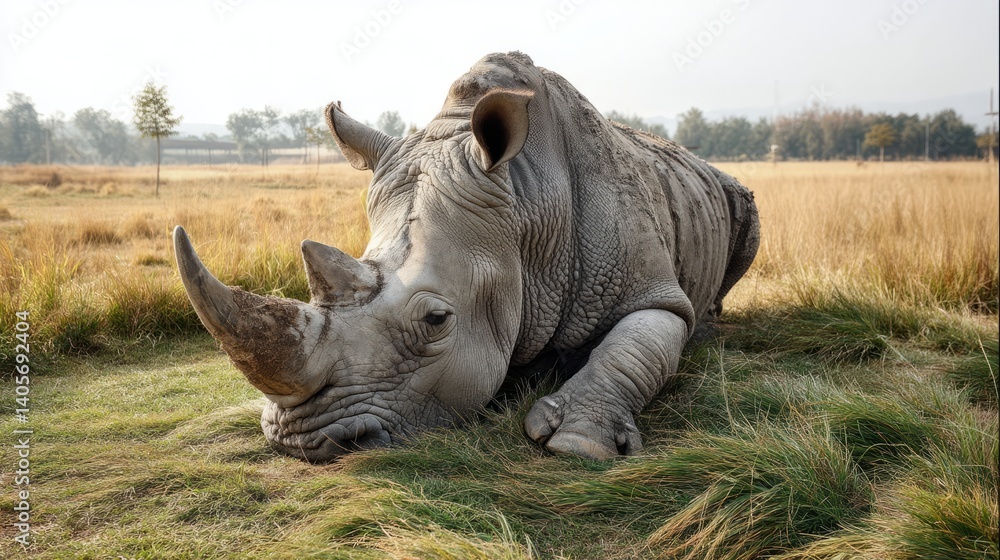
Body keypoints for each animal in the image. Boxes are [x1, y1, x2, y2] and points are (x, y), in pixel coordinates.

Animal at [173, 52, 759, 462]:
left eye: (437, 319)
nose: (297, 440)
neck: (527, 206)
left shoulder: (650, 290)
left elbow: (637, 347)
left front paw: (579, 442)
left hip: (732, 192)